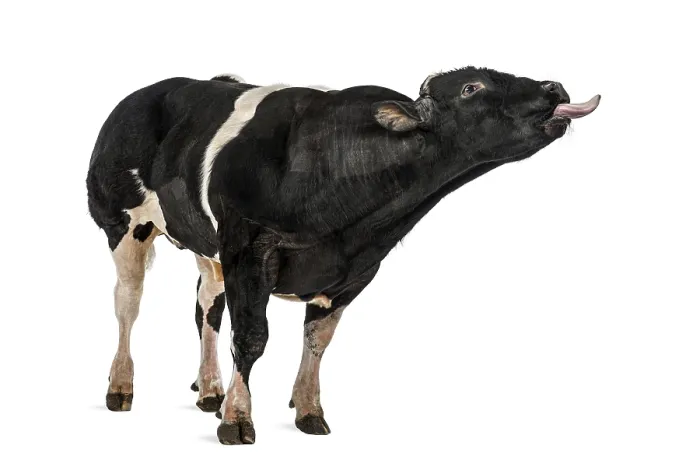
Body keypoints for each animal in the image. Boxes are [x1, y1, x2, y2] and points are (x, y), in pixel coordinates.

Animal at [86, 67, 600, 445]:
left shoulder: (357, 268)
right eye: (472, 88)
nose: (554, 87)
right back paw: (121, 387)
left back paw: (210, 389)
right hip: (121, 224)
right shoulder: (248, 251)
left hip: (205, 247)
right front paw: (238, 420)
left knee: (205, 308)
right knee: (127, 303)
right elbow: (251, 338)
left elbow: (317, 340)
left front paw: (308, 410)